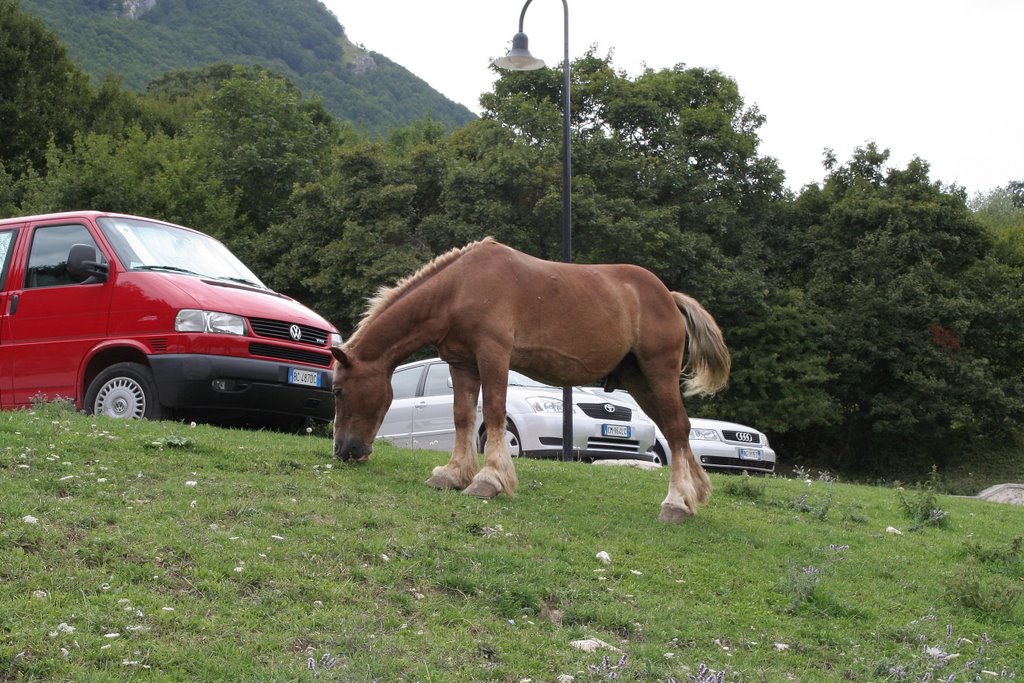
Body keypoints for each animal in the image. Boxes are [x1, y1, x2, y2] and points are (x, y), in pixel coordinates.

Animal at [331, 237, 733, 520]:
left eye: (337, 391)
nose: (344, 451)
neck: (459, 285)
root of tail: (668, 296)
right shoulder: (462, 363)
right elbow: (463, 416)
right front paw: (453, 473)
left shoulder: (493, 355)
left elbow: (493, 412)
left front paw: (489, 480)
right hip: (640, 382)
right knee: (675, 429)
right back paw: (695, 494)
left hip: (658, 372)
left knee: (678, 429)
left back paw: (676, 503)